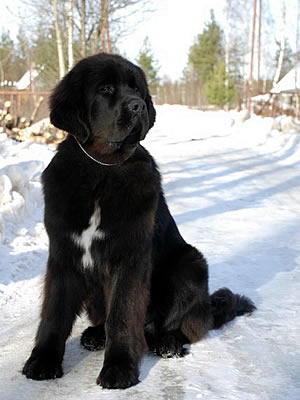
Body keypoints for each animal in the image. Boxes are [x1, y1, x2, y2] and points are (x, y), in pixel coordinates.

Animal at [22, 52, 254, 388]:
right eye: (105, 89)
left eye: (136, 89)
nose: (137, 106)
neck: (102, 168)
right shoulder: (64, 254)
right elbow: (54, 313)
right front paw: (42, 361)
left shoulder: (129, 258)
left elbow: (122, 314)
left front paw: (119, 368)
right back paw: (95, 335)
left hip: (189, 263)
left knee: (181, 326)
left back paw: (168, 343)